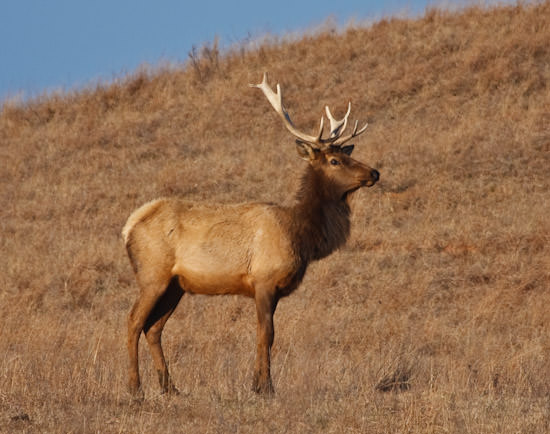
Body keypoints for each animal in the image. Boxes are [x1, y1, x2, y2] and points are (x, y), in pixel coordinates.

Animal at [122, 72, 380, 396]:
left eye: (345, 155)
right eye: (334, 161)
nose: (374, 173)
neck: (301, 235)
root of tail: (129, 227)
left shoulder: (274, 289)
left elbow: (264, 334)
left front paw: (256, 383)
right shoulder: (264, 279)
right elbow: (267, 333)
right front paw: (265, 387)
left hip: (175, 285)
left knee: (153, 328)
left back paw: (171, 388)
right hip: (151, 275)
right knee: (133, 321)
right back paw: (135, 388)